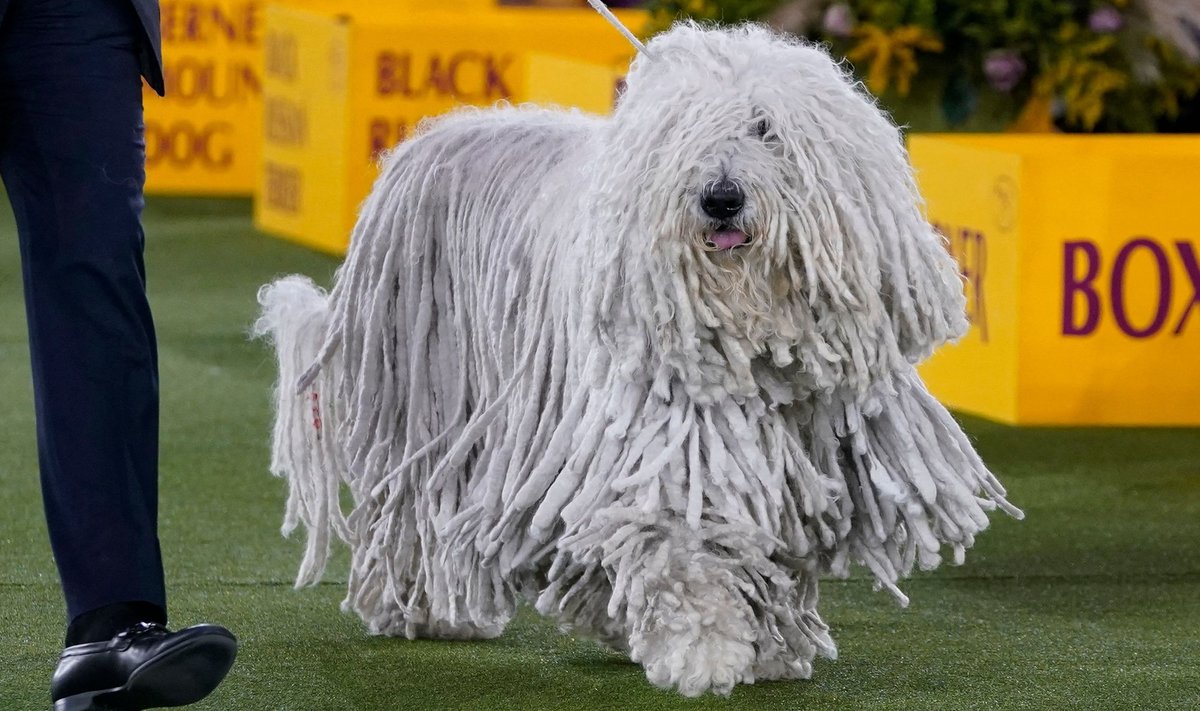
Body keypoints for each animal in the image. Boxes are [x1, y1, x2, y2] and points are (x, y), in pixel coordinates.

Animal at [253, 18, 1022, 701]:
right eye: (684, 136)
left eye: (765, 128)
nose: (720, 198)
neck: (754, 335)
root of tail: (426, 141)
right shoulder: (674, 442)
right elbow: (685, 550)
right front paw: (704, 653)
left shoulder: (800, 448)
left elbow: (776, 549)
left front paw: (771, 647)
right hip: (431, 399)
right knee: (416, 506)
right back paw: (425, 608)